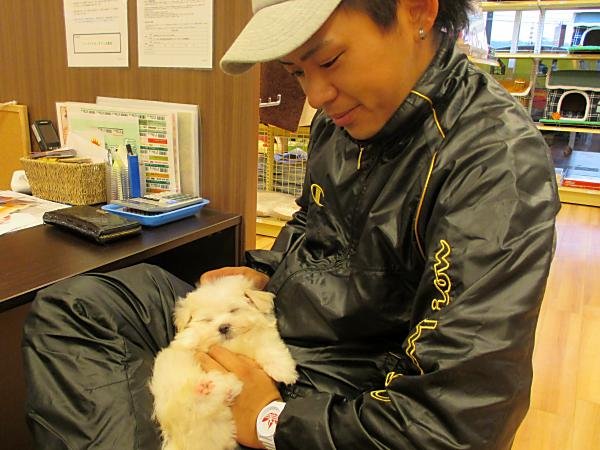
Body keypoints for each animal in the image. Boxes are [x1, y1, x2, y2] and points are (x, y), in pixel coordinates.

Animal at [149, 274, 298, 450]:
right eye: (208, 320)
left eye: (233, 310)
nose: (223, 327)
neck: (231, 344)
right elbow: (192, 335)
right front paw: (185, 340)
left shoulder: (264, 337)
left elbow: (269, 348)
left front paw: (285, 371)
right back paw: (208, 388)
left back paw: (216, 388)